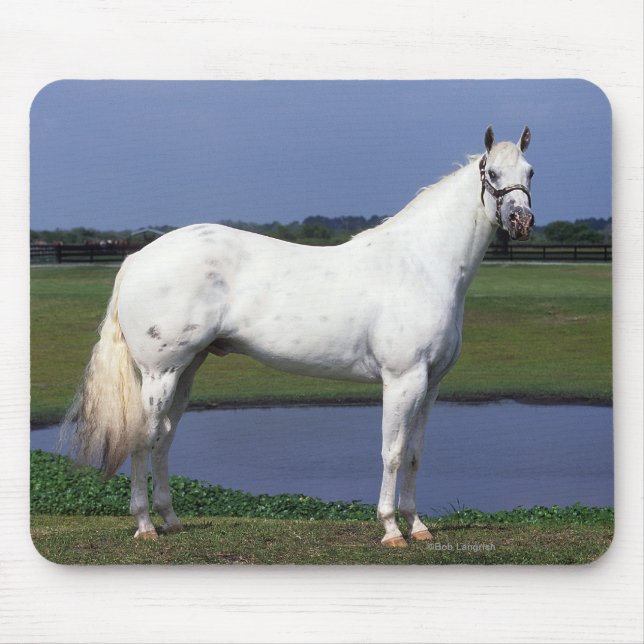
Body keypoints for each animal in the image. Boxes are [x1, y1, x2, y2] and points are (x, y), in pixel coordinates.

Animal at [62, 125, 535, 547]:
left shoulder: (431, 383)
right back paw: (144, 525)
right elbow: (393, 452)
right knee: (143, 437)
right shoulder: (402, 381)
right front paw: (391, 530)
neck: (420, 264)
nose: (522, 221)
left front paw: (417, 526)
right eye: (492, 173)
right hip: (159, 373)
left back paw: (171, 520)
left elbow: (416, 454)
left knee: (164, 436)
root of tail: (138, 257)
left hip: (186, 370)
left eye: (530, 172)